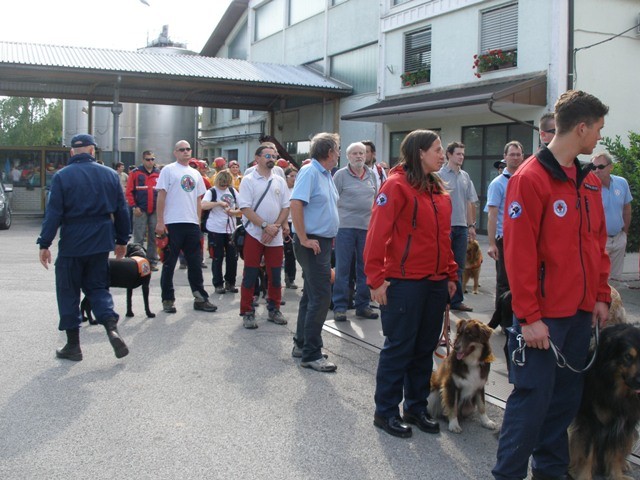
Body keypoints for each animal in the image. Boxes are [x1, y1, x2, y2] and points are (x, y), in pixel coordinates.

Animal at [568, 322, 640, 480]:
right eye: (627, 356)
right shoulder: (590, 421)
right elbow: (588, 454)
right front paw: (585, 476)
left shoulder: (624, 422)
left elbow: (616, 453)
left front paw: (617, 475)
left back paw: (625, 464)